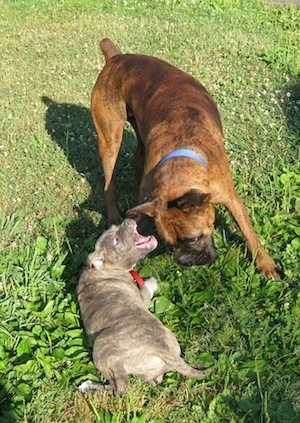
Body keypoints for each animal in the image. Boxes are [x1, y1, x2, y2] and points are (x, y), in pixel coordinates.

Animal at [77, 219, 213, 394]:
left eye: (115, 228)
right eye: (116, 241)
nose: (128, 221)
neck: (107, 268)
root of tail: (164, 351)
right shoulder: (141, 298)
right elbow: (146, 289)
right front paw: (152, 282)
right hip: (102, 349)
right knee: (120, 387)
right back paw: (89, 387)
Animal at [91, 37, 282, 282]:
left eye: (192, 239)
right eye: (168, 243)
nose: (183, 261)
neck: (180, 157)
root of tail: (116, 57)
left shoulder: (231, 199)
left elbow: (249, 232)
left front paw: (266, 264)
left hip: (138, 132)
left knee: (135, 160)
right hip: (109, 139)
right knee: (109, 185)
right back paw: (114, 215)